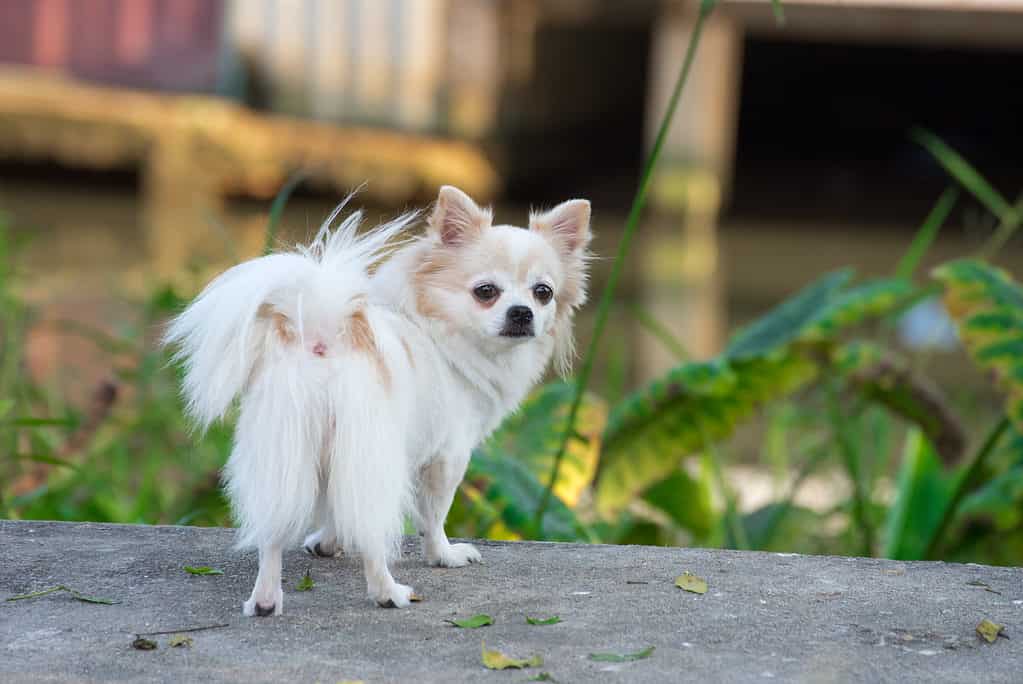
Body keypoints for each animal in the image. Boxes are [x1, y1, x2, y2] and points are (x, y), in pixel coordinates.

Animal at [166, 183, 593, 613]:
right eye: (486, 292)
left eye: (544, 293)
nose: (522, 312)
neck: (440, 331)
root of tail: (325, 335)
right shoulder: (448, 456)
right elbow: (433, 516)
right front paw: (444, 555)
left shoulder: (334, 457)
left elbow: (336, 506)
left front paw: (327, 543)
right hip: (371, 451)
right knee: (374, 534)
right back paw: (389, 592)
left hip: (286, 448)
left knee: (273, 529)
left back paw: (266, 601)